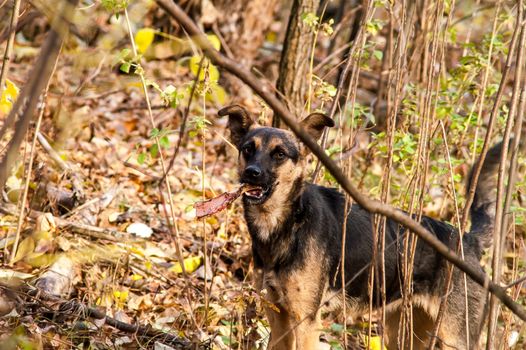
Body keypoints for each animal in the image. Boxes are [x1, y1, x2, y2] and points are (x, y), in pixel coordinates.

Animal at [220, 104, 504, 350]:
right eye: (248, 149)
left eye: (279, 154)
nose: (252, 173)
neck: (288, 224)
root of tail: (468, 240)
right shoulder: (278, 315)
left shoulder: (305, 321)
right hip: (404, 333)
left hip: (455, 336)